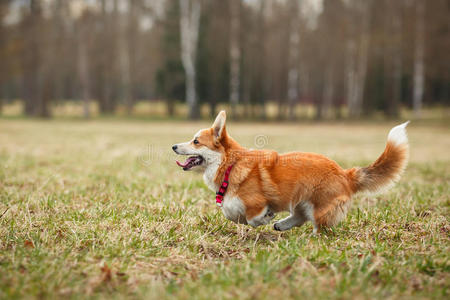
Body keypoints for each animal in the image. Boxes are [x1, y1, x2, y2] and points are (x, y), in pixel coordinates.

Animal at [171, 111, 408, 233]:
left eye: (195, 141)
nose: (173, 146)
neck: (231, 164)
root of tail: (346, 174)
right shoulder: (232, 204)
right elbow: (232, 213)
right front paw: (264, 218)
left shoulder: (256, 202)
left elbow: (252, 218)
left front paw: (265, 217)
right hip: (302, 201)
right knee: (300, 217)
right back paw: (281, 224)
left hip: (319, 208)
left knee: (319, 226)